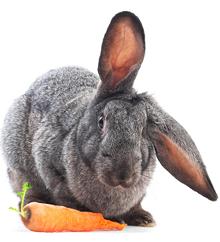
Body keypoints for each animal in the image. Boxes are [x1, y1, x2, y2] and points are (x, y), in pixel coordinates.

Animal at [1, 10, 218, 227]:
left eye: (143, 131)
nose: (123, 173)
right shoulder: (50, 167)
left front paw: (143, 219)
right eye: (101, 121)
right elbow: (65, 197)